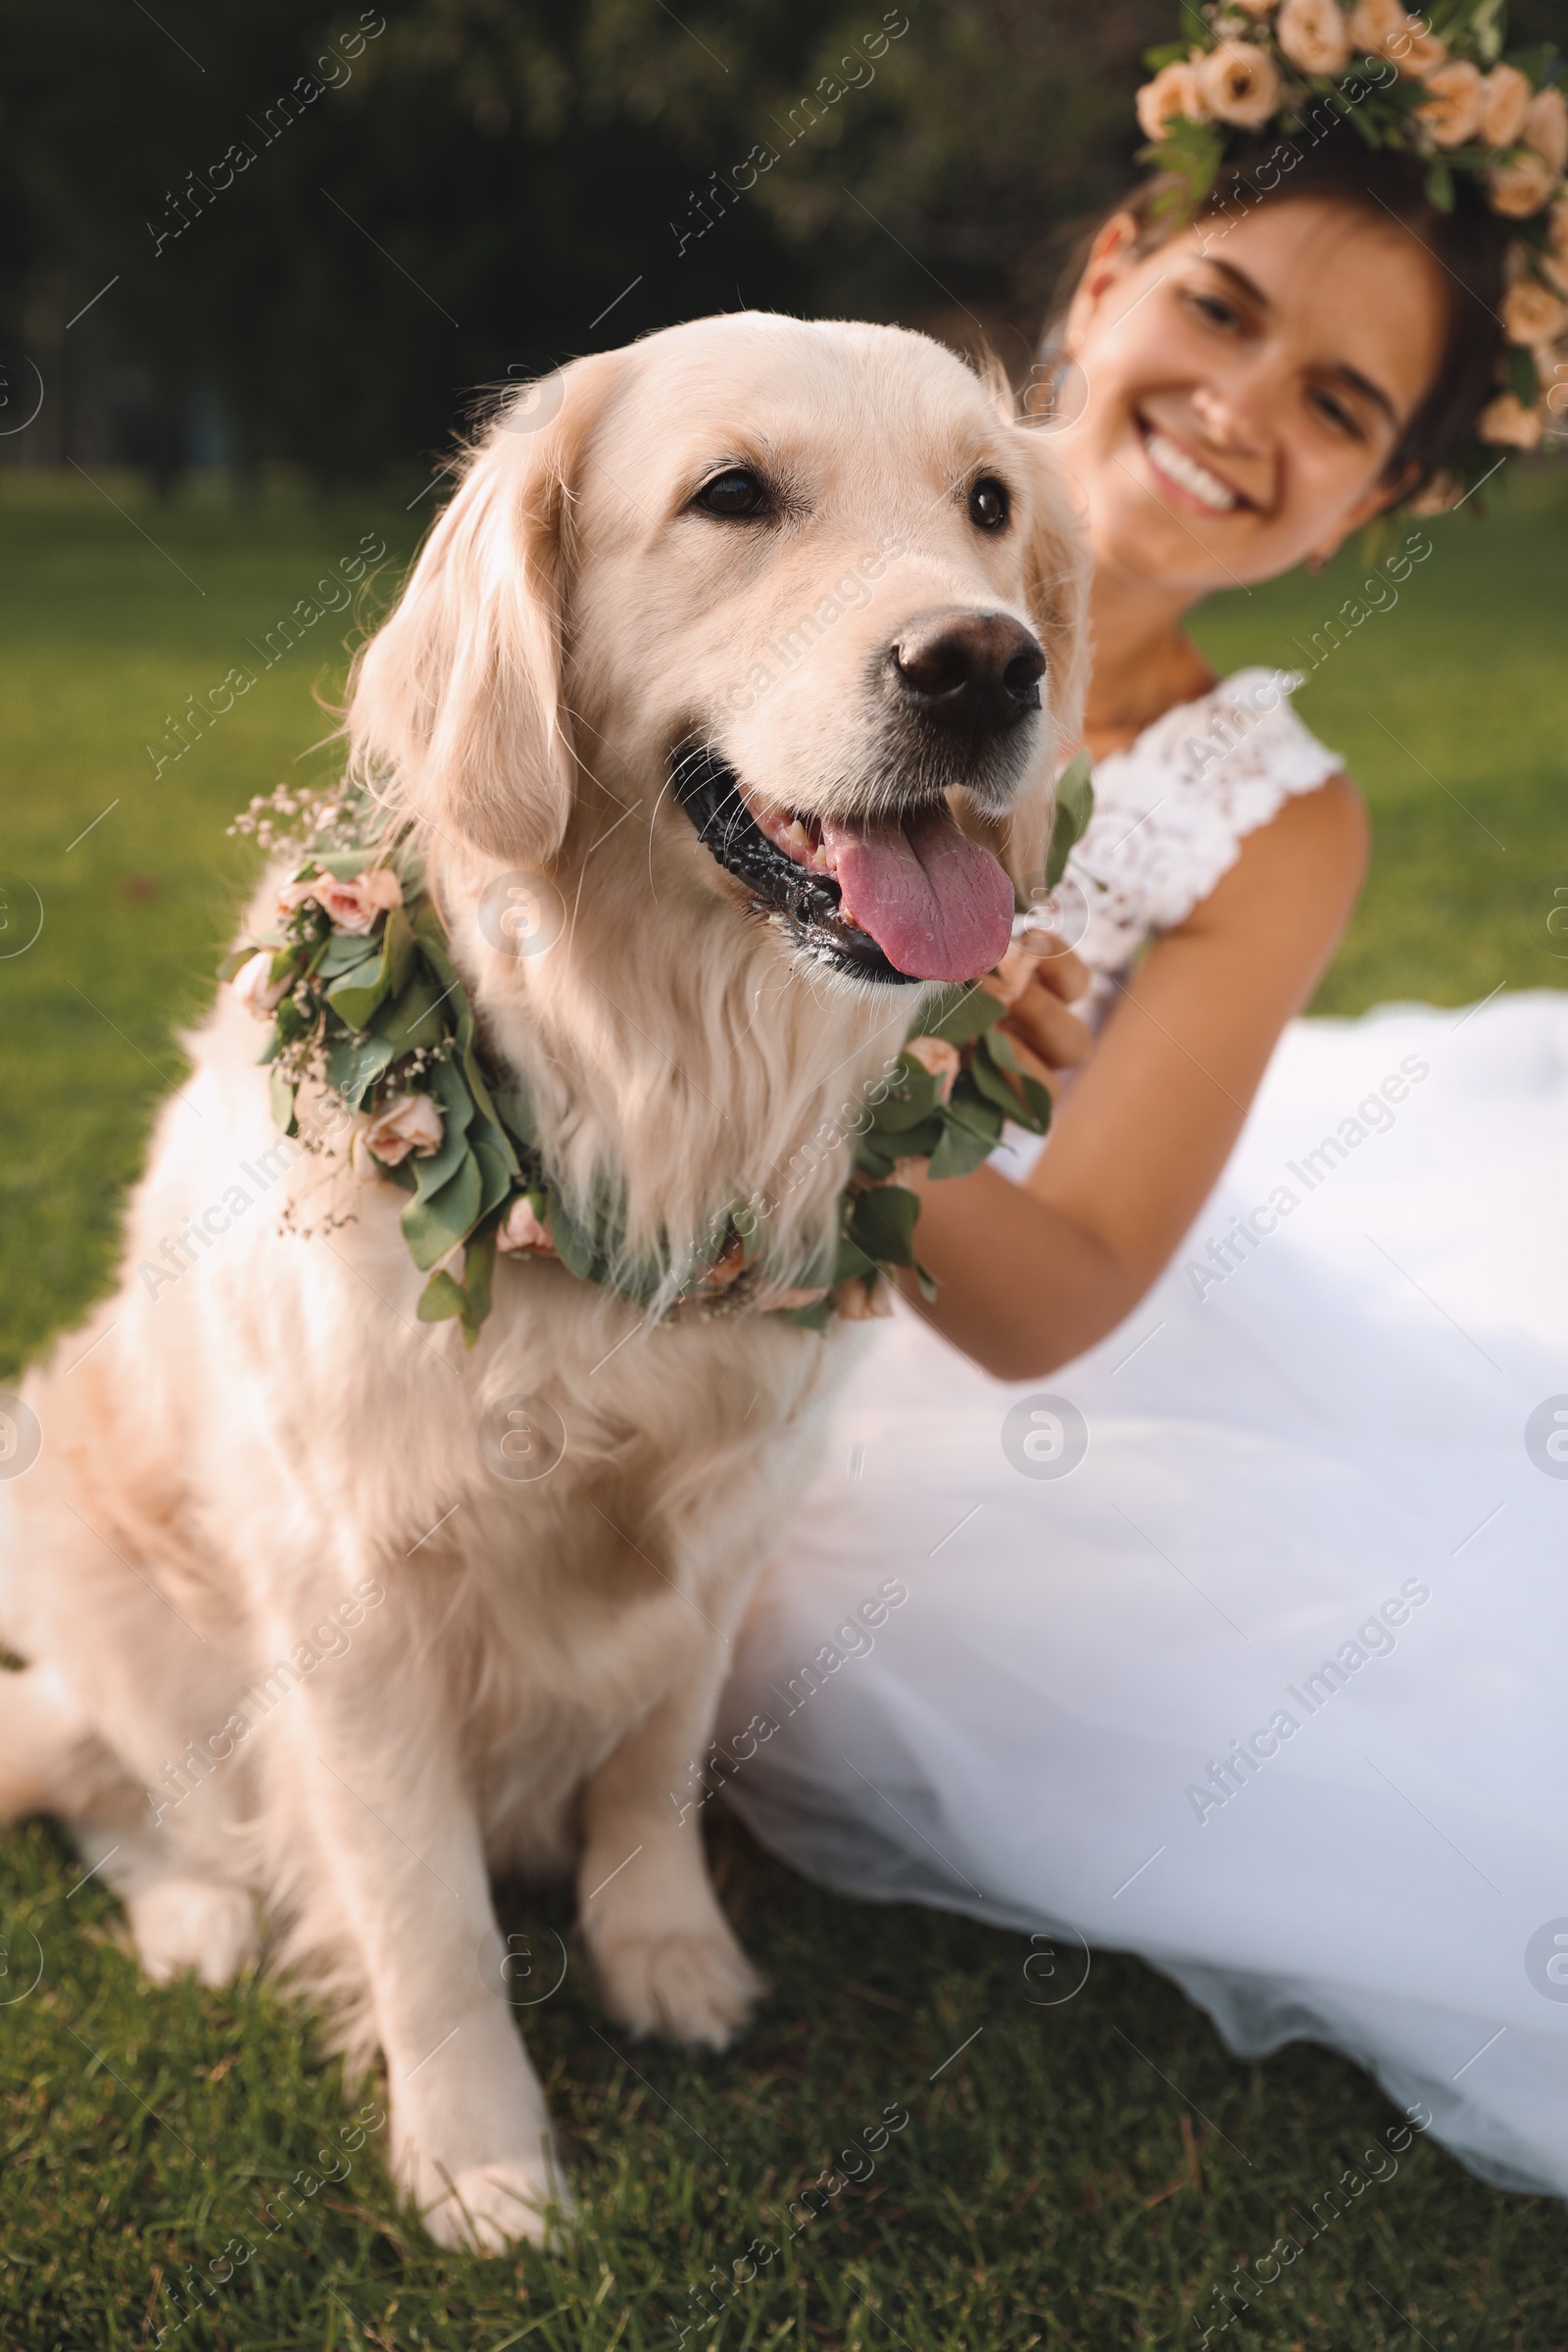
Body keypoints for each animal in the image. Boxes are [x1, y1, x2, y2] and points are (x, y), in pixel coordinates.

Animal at [0, 313, 1081, 2238]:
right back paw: (200, 1912)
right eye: (733, 495)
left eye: (987, 503)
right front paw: (482, 2156)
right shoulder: (352, 1592)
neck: (640, 1109)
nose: (987, 665)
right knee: (110, 1779)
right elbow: (421, 1908)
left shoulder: (723, 1541)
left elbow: (650, 1766)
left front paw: (667, 1957)